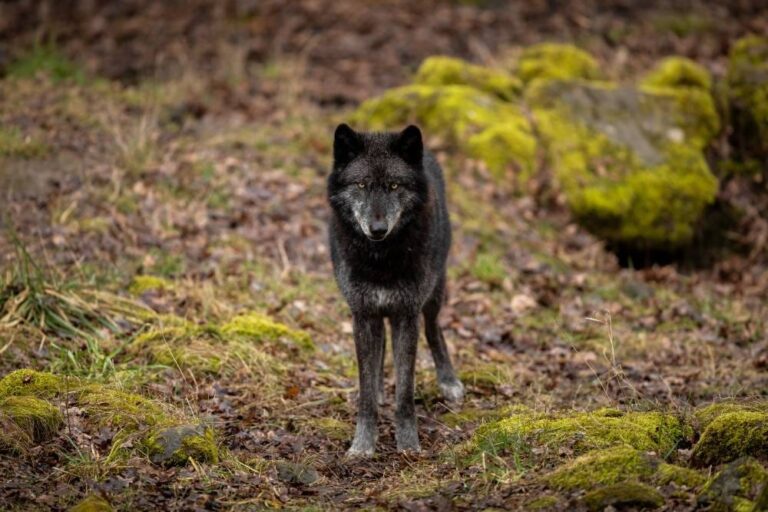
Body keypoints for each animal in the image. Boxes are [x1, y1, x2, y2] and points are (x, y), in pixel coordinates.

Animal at [327, 123, 464, 456]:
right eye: (362, 184)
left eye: (393, 186)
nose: (377, 229)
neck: (381, 259)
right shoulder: (363, 314)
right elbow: (365, 391)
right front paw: (363, 444)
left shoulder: (406, 315)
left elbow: (405, 391)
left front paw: (408, 443)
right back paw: (378, 388)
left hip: (434, 294)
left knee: (434, 330)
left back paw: (448, 380)